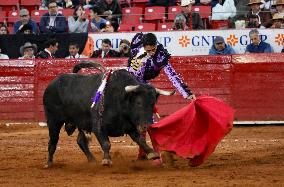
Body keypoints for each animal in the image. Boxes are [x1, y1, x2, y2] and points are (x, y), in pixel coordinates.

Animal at [43, 62, 174, 167]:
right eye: (139, 103)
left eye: (153, 103)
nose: (147, 125)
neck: (121, 100)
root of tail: (52, 84)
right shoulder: (98, 126)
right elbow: (106, 143)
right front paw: (106, 160)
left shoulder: (130, 126)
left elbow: (140, 140)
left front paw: (152, 153)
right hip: (53, 120)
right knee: (53, 141)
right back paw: (49, 163)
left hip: (81, 123)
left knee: (80, 141)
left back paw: (92, 160)